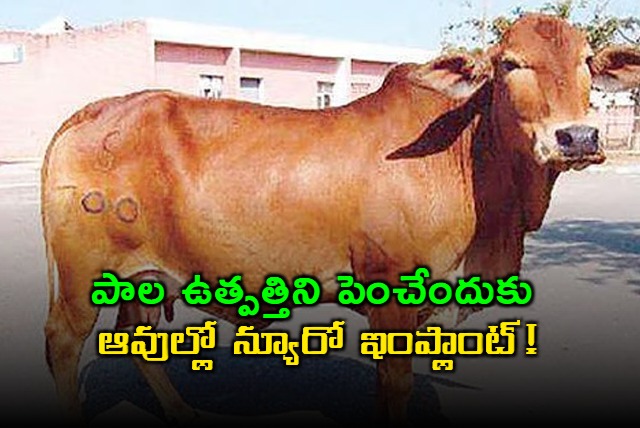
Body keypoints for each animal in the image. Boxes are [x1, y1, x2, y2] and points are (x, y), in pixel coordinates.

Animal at [41, 13, 640, 427]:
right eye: (510, 63)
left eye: (588, 62)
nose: (578, 136)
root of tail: (94, 111)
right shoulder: (394, 295)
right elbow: (394, 387)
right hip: (82, 276)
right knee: (63, 344)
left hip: (144, 276)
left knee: (135, 340)